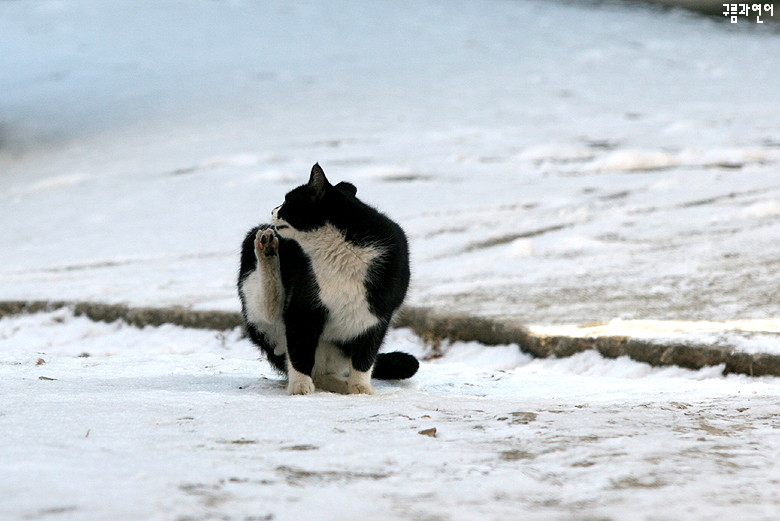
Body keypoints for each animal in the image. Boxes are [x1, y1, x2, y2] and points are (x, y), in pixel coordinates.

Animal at [238, 164, 420, 394]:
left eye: (288, 200)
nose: (273, 210)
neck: (342, 248)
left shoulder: (377, 314)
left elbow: (365, 356)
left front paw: (360, 388)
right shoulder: (303, 308)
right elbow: (300, 351)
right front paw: (300, 386)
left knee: (323, 373)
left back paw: (342, 384)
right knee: (269, 313)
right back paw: (267, 249)